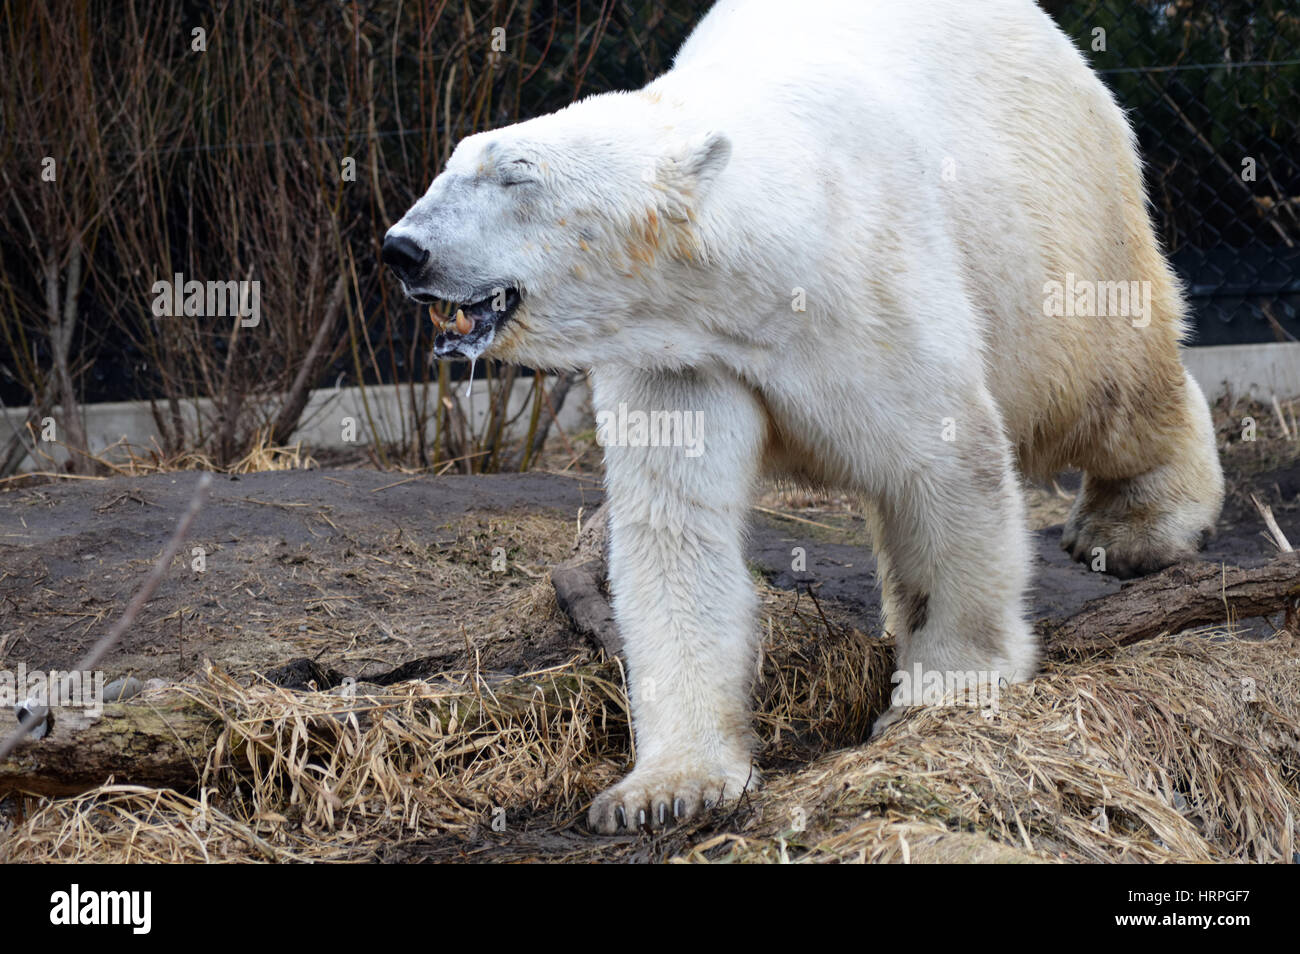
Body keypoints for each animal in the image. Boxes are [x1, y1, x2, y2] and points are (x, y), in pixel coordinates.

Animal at [382, 0, 1225, 833]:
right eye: (451, 166)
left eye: (515, 175)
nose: (403, 248)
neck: (750, 268)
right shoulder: (681, 356)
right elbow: (676, 527)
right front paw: (666, 786)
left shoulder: (868, 289)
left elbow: (945, 469)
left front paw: (945, 691)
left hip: (1054, 211)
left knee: (1103, 378)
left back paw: (1133, 526)